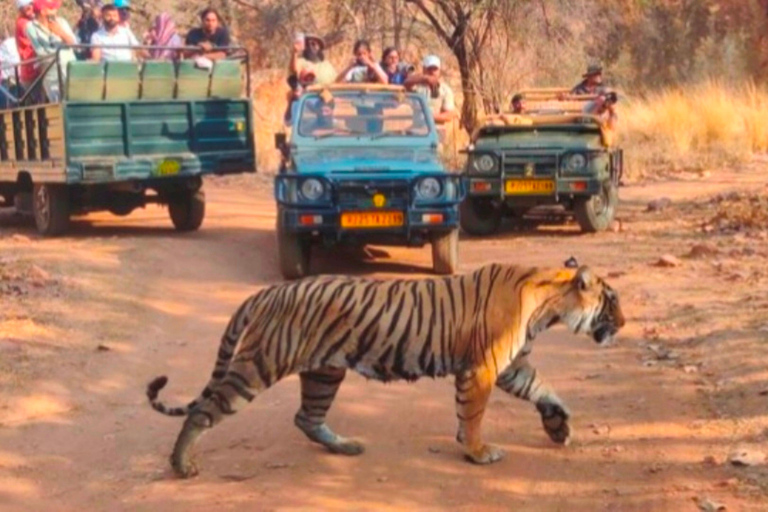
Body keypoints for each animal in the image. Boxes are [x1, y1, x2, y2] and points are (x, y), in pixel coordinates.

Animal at [146, 262, 624, 478]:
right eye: (612, 301)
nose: (622, 323)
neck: (548, 305)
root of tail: (268, 292)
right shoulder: (483, 369)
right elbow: (472, 416)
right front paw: (476, 452)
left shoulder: (511, 367)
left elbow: (544, 388)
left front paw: (559, 426)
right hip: (258, 366)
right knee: (203, 410)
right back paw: (182, 464)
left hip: (324, 371)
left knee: (306, 416)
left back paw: (345, 447)